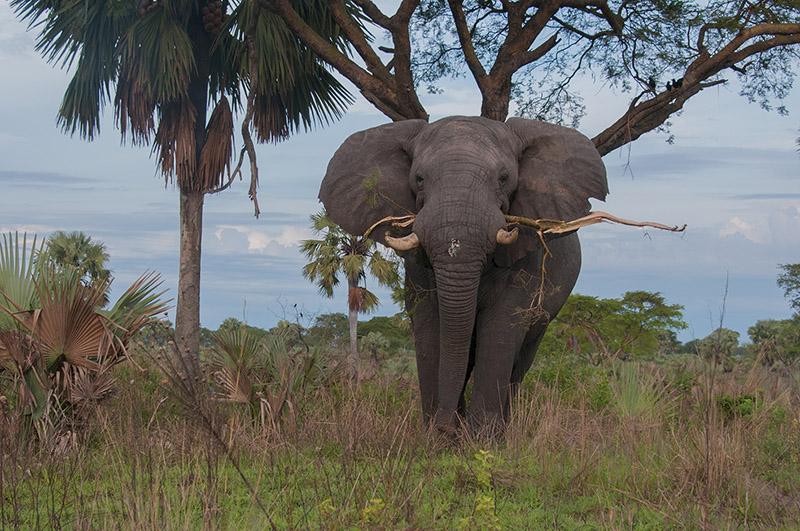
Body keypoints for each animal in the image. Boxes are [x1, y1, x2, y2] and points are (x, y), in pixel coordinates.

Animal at [319, 116, 608, 436]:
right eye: (419, 178)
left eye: (504, 178)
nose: (447, 426)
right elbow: (431, 329)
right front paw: (439, 437)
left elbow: (500, 329)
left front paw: (482, 439)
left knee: (521, 360)